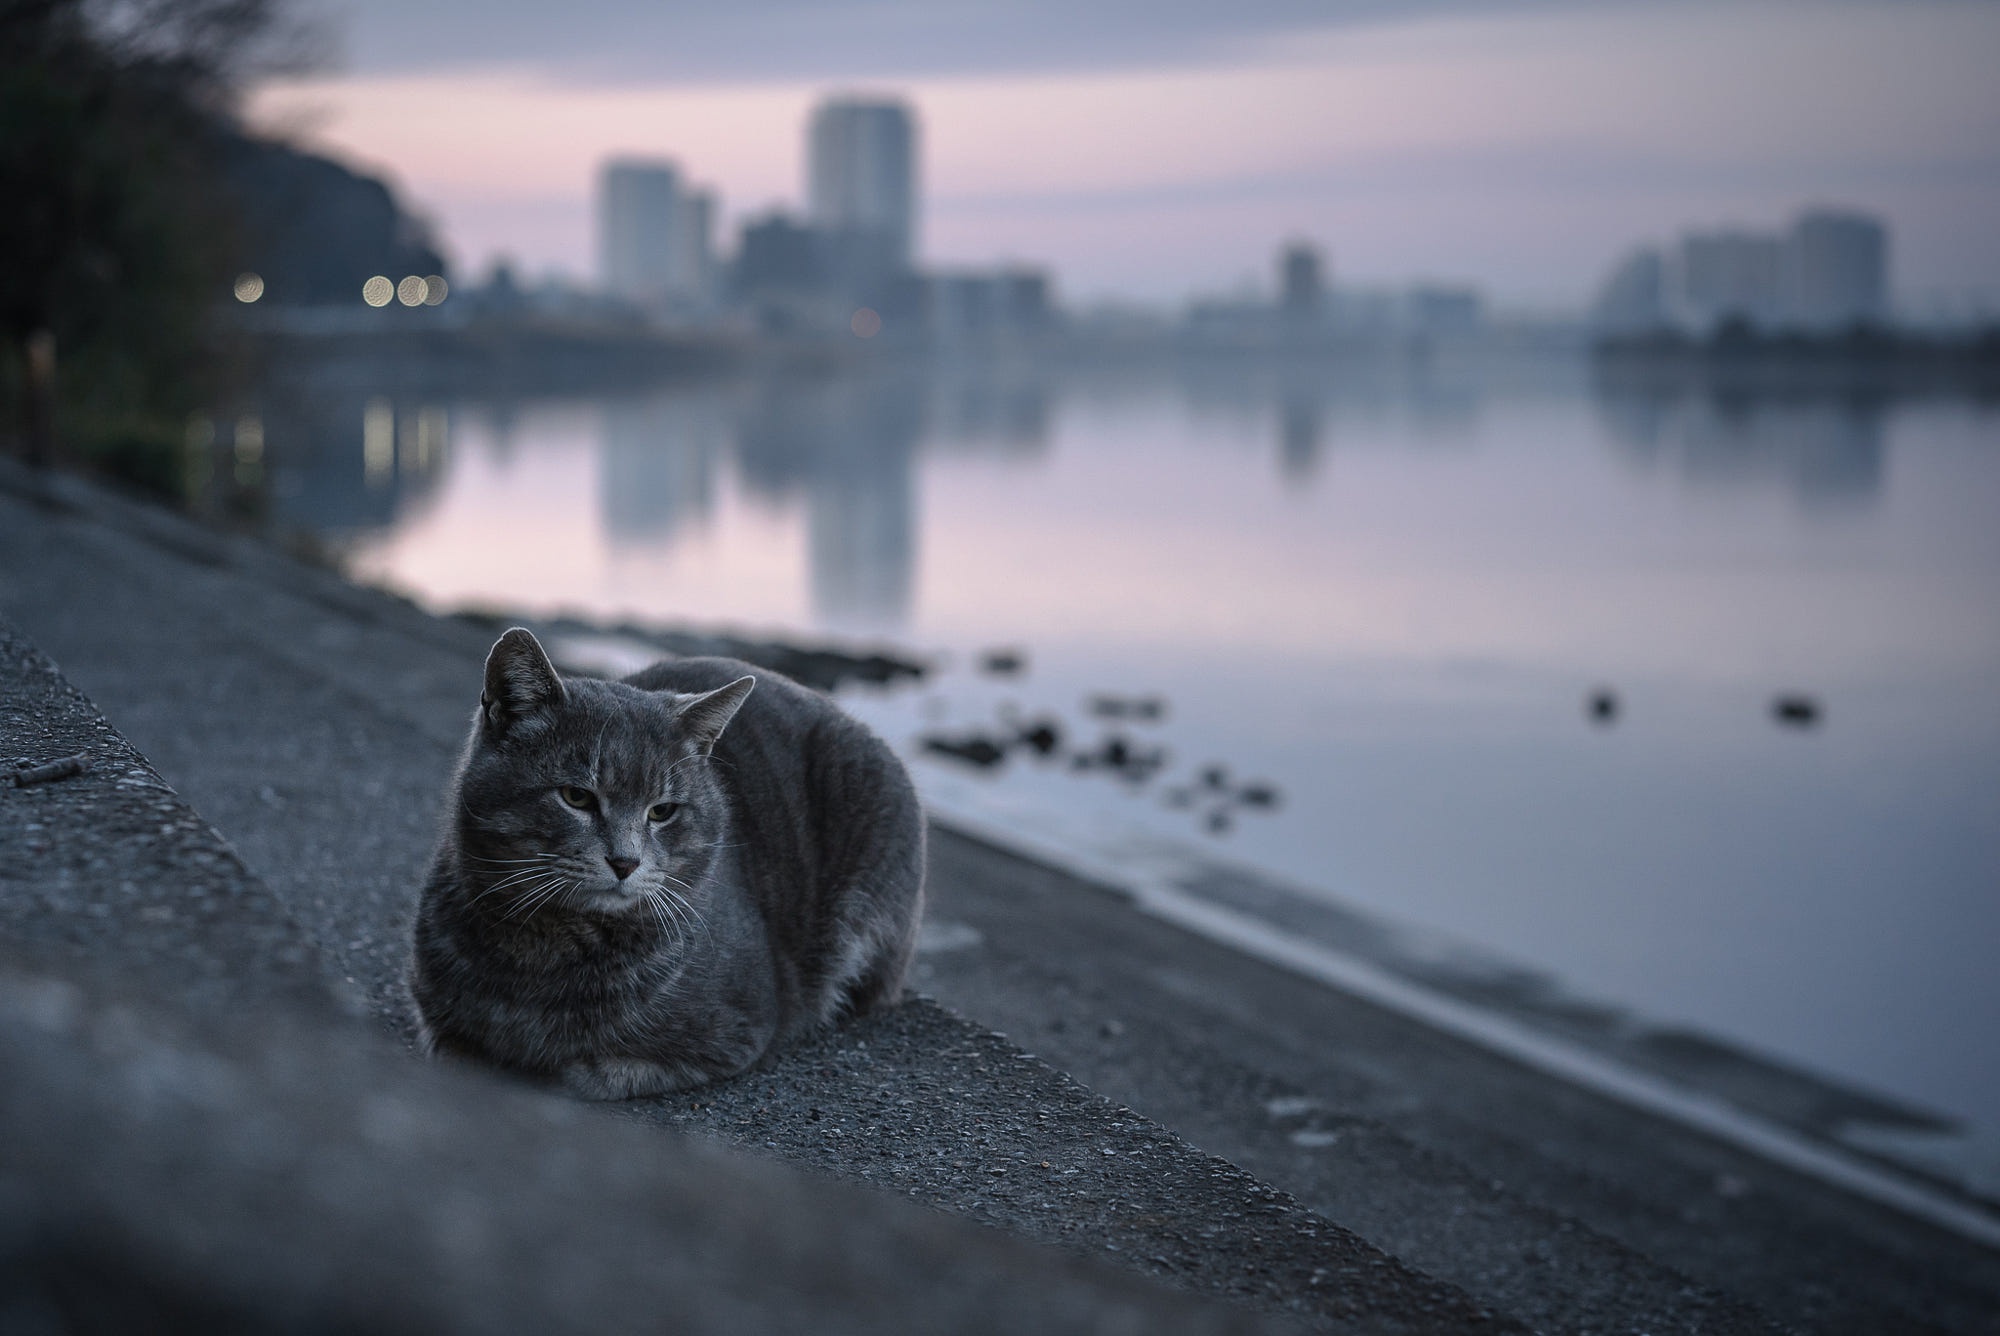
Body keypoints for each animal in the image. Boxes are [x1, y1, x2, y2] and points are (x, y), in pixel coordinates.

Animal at [416, 628, 928, 1096]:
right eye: (576, 796)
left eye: (661, 811)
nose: (624, 861)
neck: (546, 951)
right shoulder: (437, 1021)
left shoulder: (734, 1034)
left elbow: (581, 1073)